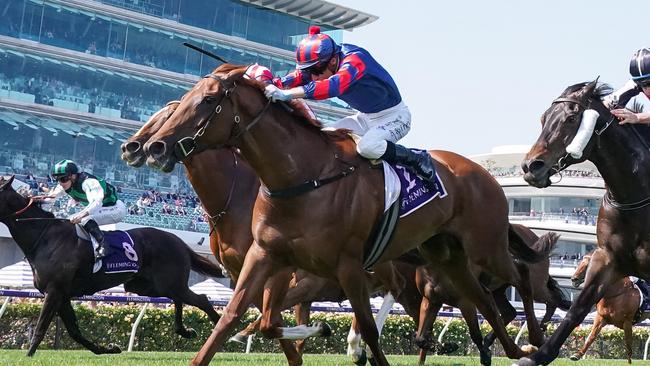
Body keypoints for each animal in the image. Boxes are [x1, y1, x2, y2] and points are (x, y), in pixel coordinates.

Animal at [0, 176, 220, 356]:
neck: (45, 237)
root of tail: (178, 241)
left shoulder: (54, 291)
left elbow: (41, 327)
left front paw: (28, 356)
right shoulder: (61, 295)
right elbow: (74, 331)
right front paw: (108, 349)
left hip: (167, 282)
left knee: (201, 299)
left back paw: (220, 330)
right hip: (146, 286)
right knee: (179, 298)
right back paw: (185, 330)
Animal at [146, 64, 552, 364]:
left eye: (208, 100)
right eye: (182, 99)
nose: (152, 146)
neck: (302, 177)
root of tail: (484, 173)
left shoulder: (348, 265)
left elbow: (368, 330)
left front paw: (350, 344)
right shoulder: (266, 255)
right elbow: (237, 319)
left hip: (485, 246)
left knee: (521, 279)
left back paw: (537, 341)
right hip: (447, 255)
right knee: (483, 300)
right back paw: (517, 350)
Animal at [516, 81, 648, 366]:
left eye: (571, 118)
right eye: (543, 118)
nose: (531, 166)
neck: (636, 195)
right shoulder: (607, 258)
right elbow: (578, 308)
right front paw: (538, 355)